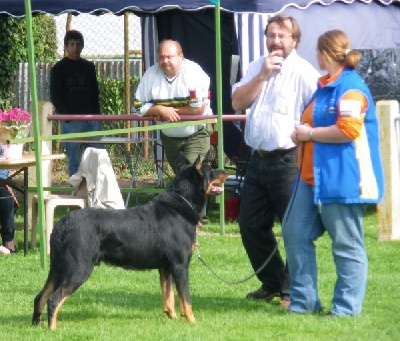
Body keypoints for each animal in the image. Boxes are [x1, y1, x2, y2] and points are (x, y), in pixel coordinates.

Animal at [32, 151, 227, 330]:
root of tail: (63, 224)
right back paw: (52, 328)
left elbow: (168, 296)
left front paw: (172, 318)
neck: (182, 206)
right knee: (53, 299)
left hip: (58, 268)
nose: (225, 171)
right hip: (78, 268)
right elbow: (185, 299)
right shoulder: (180, 266)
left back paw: (36, 325)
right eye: (211, 170)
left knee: (40, 297)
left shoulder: (166, 267)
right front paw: (192, 321)